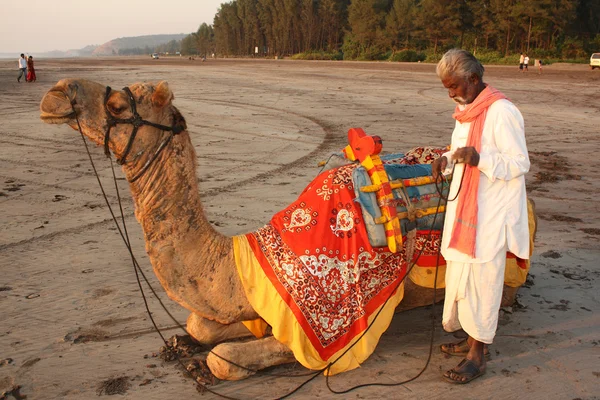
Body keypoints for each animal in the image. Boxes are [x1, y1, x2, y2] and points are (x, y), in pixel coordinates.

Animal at [38, 79, 536, 382]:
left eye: (118, 105)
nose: (55, 94)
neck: (240, 258)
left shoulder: (316, 326)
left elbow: (222, 359)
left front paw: (210, 364)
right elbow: (198, 324)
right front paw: (182, 342)